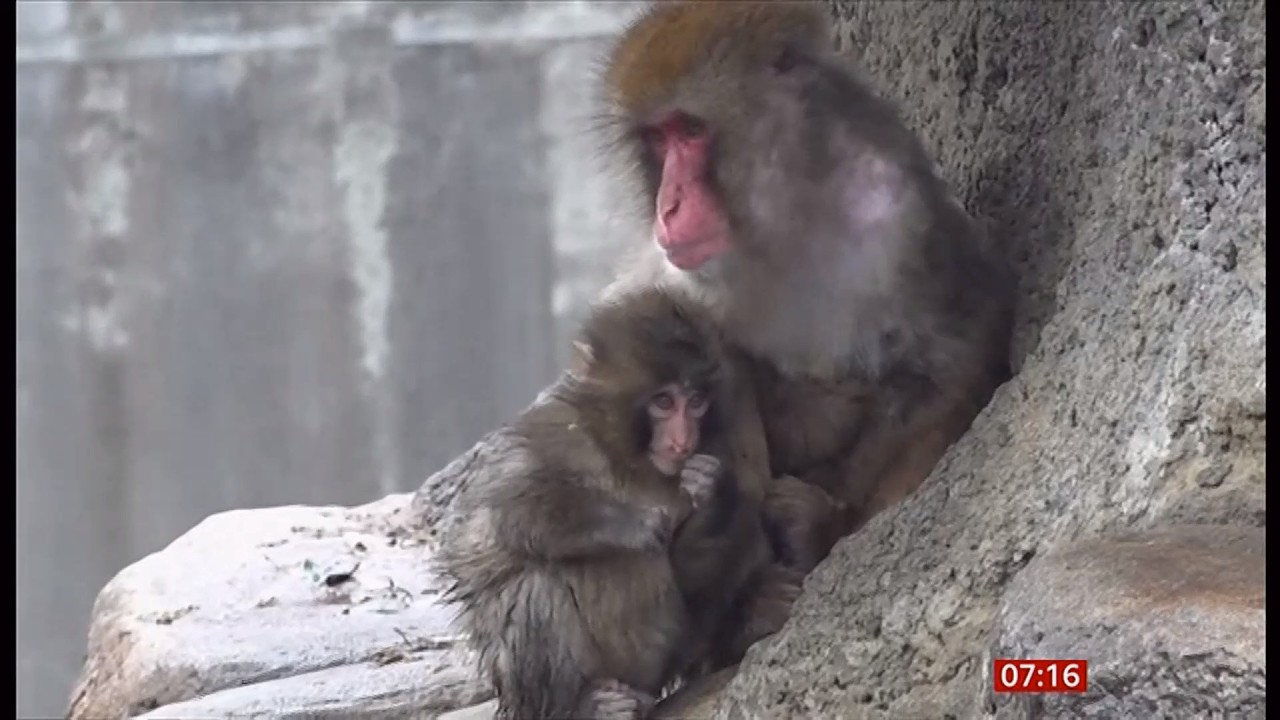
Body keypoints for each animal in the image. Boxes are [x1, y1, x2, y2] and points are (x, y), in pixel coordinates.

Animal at [435, 286, 798, 719]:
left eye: (695, 401)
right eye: (663, 402)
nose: (682, 439)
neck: (630, 456)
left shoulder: (722, 443)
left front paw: (714, 491)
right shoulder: (554, 428)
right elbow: (495, 514)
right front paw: (637, 525)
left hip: (655, 664)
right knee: (535, 586)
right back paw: (578, 706)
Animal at [598, 0, 1017, 574]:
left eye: (691, 130)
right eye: (659, 140)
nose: (669, 206)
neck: (787, 226)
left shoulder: (899, 221)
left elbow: (949, 362)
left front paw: (825, 527)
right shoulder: (669, 275)